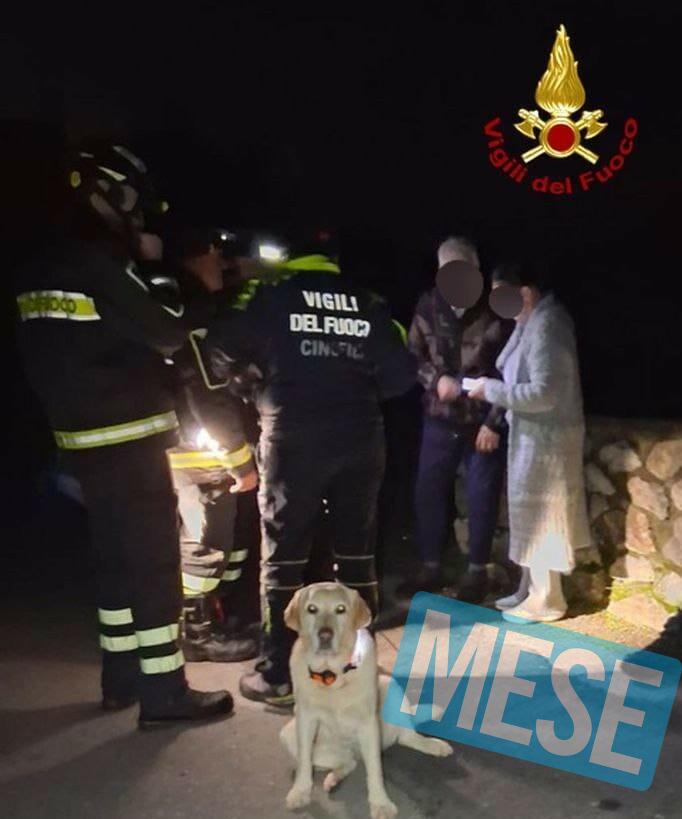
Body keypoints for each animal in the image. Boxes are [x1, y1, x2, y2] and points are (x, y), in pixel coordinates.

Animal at [280, 582, 452, 819]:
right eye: (312, 609)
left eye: (340, 610)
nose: (325, 635)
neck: (332, 675)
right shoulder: (305, 718)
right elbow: (305, 762)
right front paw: (300, 792)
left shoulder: (368, 723)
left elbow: (375, 771)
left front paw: (380, 803)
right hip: (289, 735)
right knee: (348, 762)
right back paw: (333, 778)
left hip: (390, 687)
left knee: (406, 737)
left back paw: (434, 745)